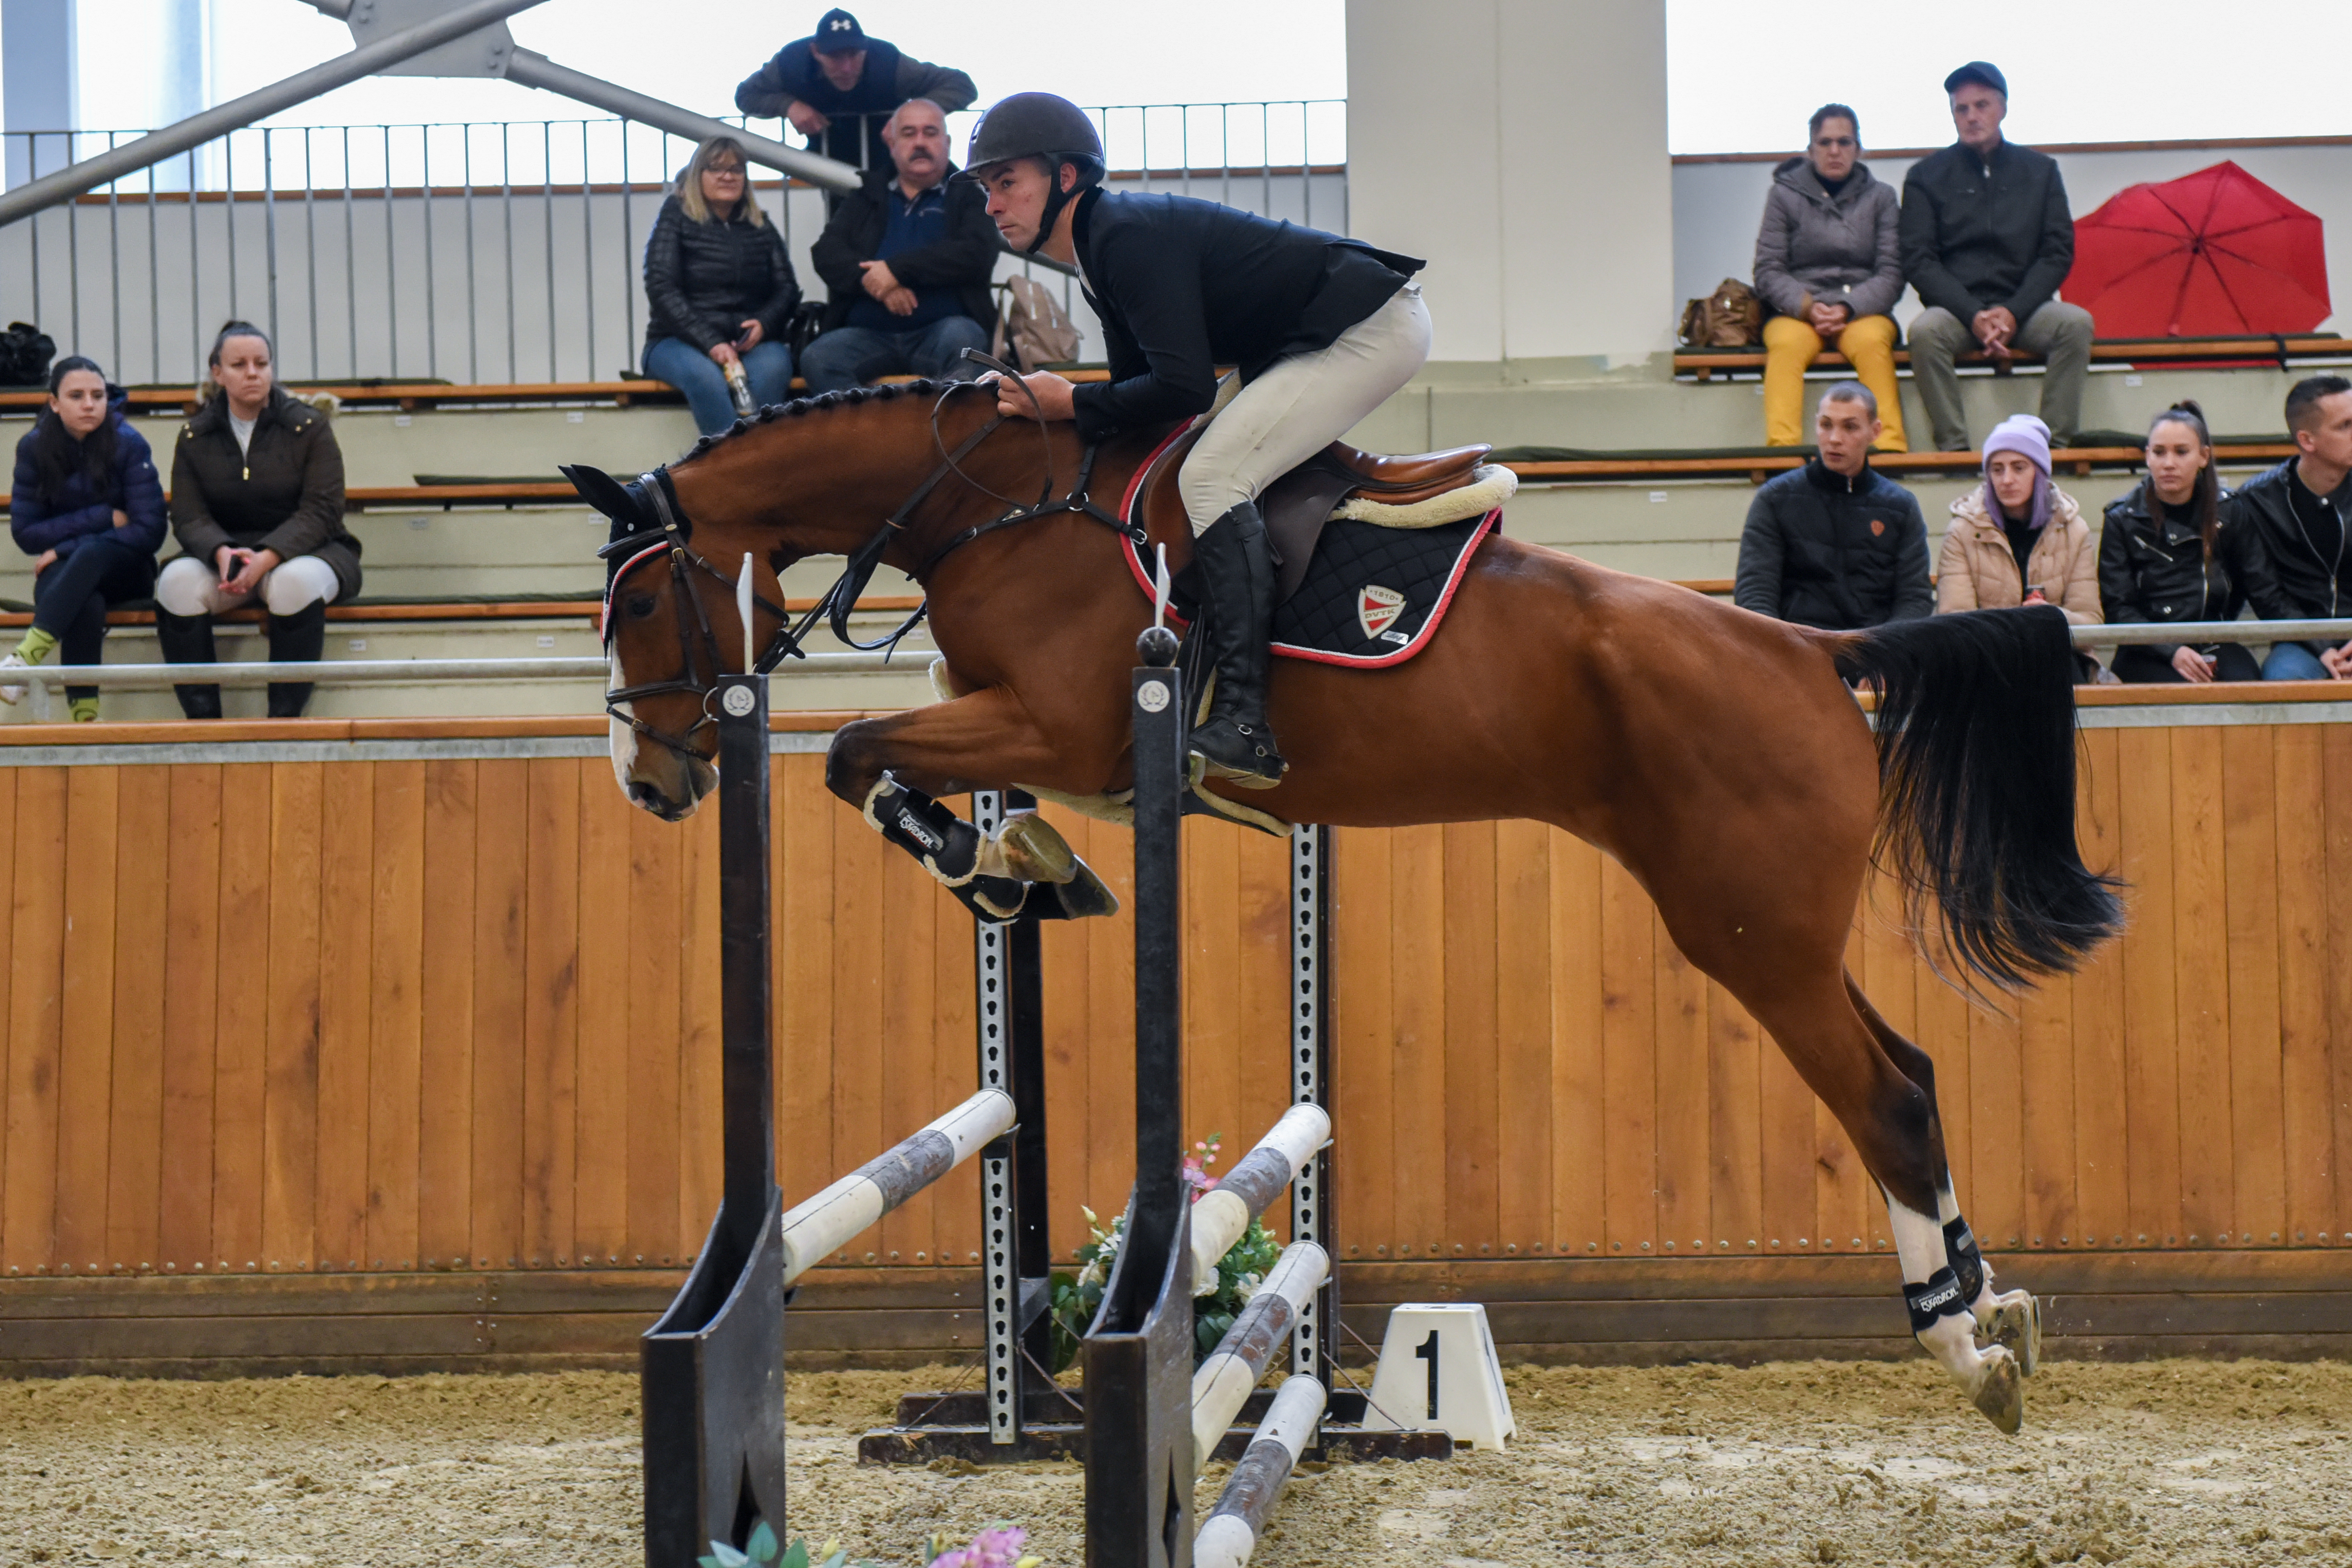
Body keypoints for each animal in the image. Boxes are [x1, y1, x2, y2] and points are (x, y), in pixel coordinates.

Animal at [569, 377, 2123, 1434]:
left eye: (638, 610)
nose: (648, 781)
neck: (990, 505)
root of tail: (1813, 649)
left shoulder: (1060, 725)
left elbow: (852, 753)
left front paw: (988, 862)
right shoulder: (1037, 736)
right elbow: (893, 763)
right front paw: (1029, 865)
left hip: (1744, 933)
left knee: (1885, 1097)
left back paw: (1960, 1347)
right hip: (1777, 930)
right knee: (1908, 1067)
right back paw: (1990, 1307)